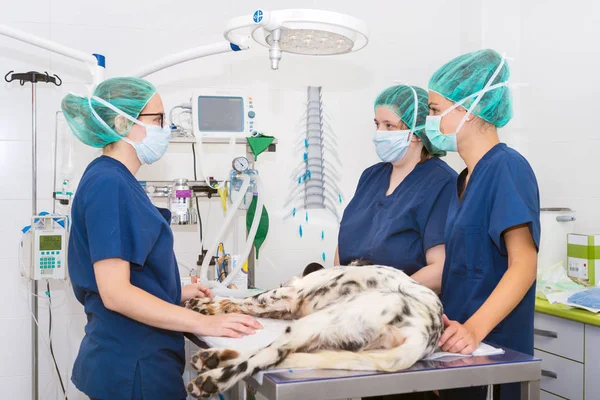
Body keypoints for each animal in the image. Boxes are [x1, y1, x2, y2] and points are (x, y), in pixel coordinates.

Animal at [185, 260, 442, 398]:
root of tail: (423, 334)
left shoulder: (289, 294)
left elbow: (245, 300)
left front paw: (203, 303)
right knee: (274, 354)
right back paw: (214, 357)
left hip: (317, 321)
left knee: (267, 355)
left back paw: (211, 379)